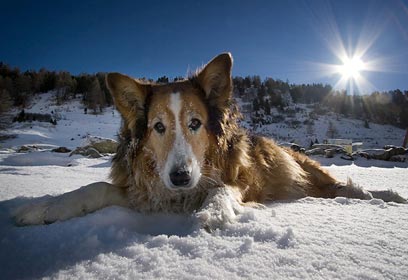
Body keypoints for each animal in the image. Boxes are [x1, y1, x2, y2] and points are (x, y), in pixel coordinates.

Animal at [14, 53, 406, 230]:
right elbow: (94, 187)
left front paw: (213, 212)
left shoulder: (240, 181)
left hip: (314, 175)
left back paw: (384, 197)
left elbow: (222, 190)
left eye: (196, 123)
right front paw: (44, 209)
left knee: (346, 188)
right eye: (158, 127)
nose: (180, 178)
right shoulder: (147, 189)